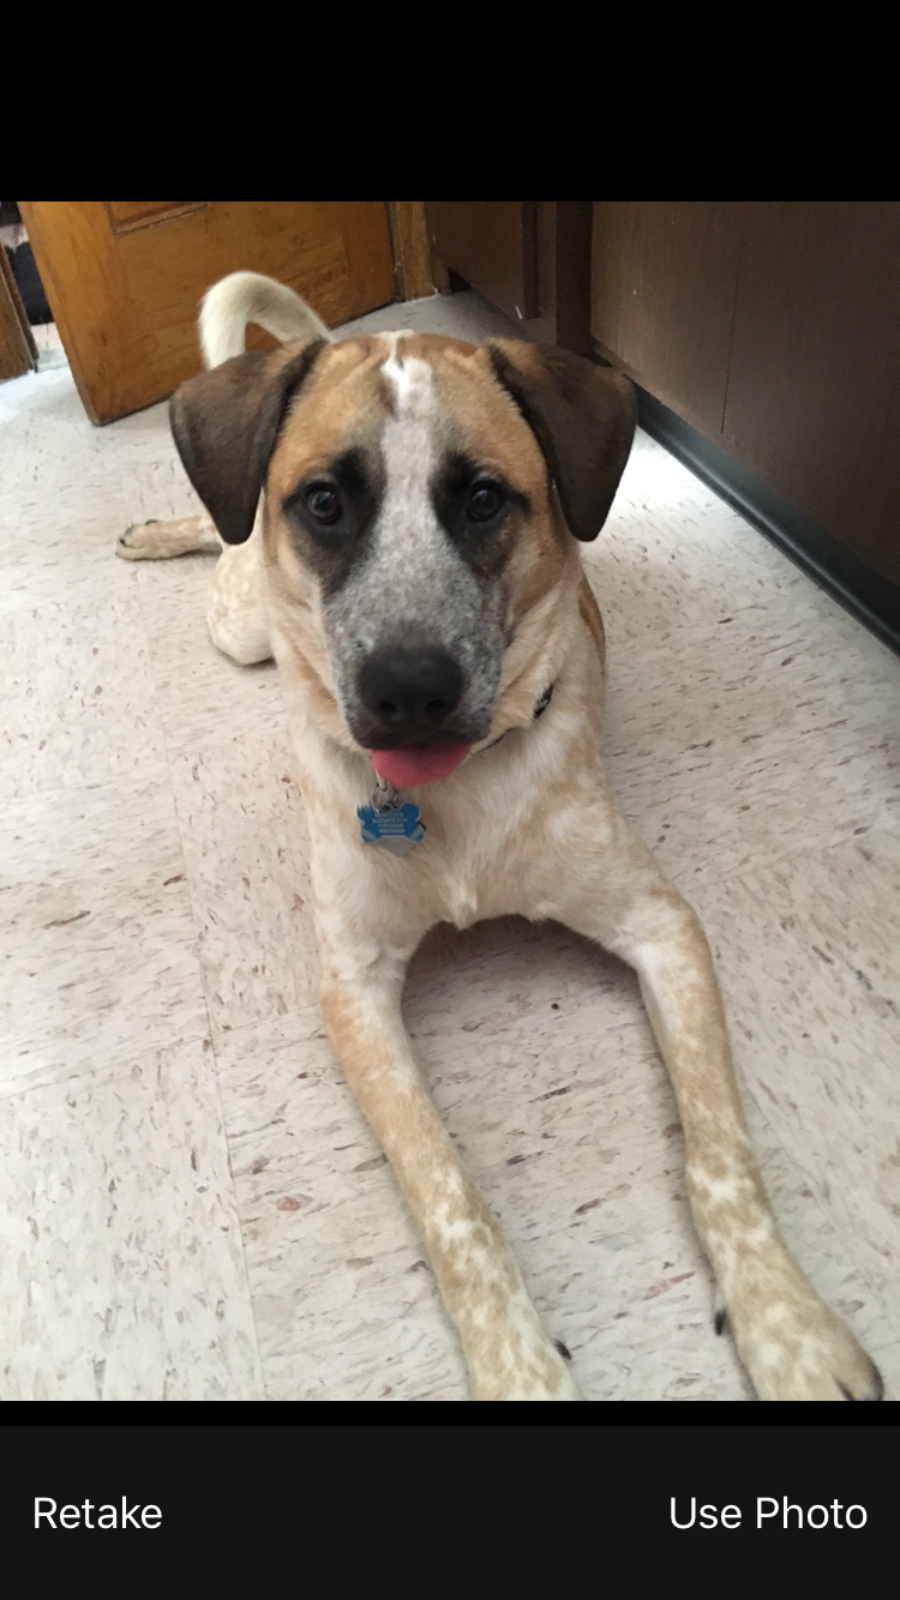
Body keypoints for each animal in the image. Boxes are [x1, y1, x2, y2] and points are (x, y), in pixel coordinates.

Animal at [117, 271, 882, 1400]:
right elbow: (448, 1194)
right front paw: (517, 1361)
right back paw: (169, 529)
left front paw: (784, 1322)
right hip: (240, 628)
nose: (408, 691)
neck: (451, 802)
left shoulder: (662, 927)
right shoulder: (355, 988)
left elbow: (720, 1153)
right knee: (227, 539)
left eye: (482, 499)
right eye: (325, 502)